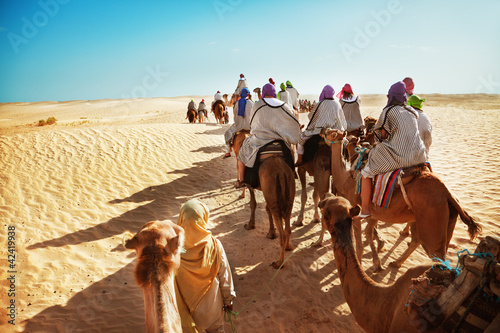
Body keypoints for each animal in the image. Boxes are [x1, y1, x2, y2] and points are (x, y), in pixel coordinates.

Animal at [320, 128, 480, 272]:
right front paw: (378, 263)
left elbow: (359, 240)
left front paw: (361, 263)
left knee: (436, 253)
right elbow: (369, 233)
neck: (346, 178)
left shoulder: (355, 208)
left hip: (432, 222)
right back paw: (396, 263)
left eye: (331, 132)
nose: (322, 130)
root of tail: (447, 193)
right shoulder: (374, 213)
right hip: (441, 219)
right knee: (419, 242)